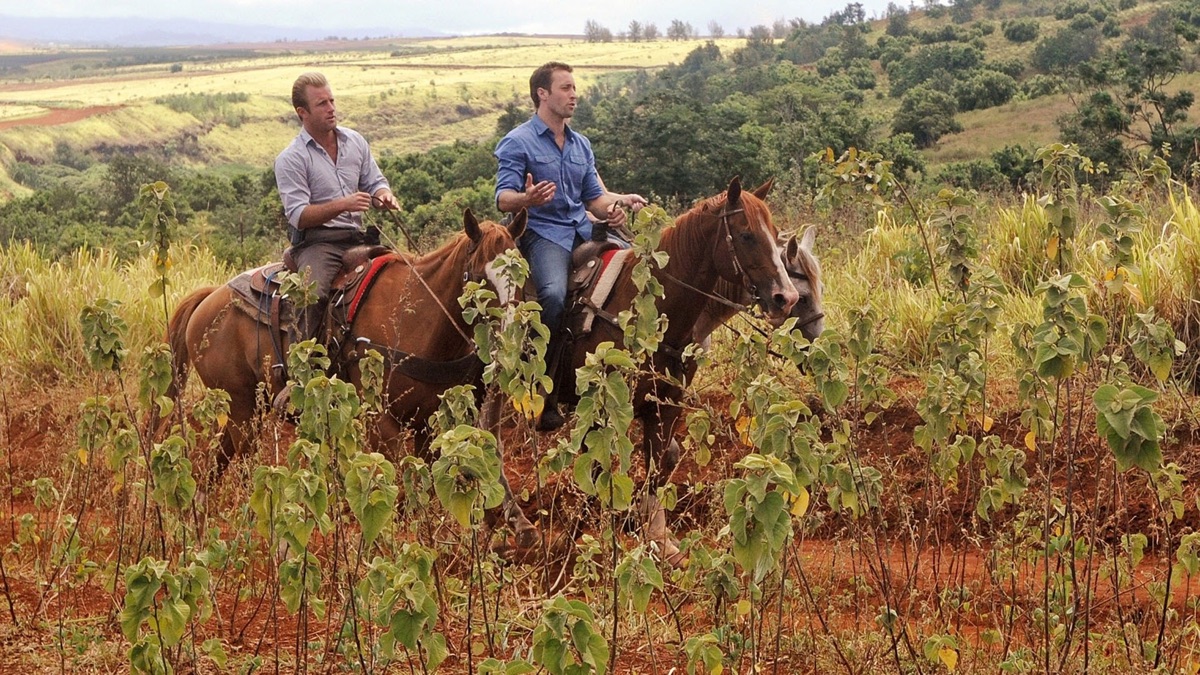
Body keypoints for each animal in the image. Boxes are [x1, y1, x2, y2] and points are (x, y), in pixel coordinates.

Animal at [165, 210, 535, 540]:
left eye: (522, 275)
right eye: (481, 277)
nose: (512, 341)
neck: (416, 317)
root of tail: (210, 299)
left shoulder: (427, 425)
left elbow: (424, 487)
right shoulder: (380, 422)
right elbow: (398, 484)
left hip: (249, 414)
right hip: (240, 410)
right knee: (224, 462)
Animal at [556, 176, 801, 559]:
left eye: (775, 234)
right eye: (747, 235)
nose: (786, 298)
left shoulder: (665, 406)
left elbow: (659, 467)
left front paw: (658, 539)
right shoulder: (602, 409)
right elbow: (599, 469)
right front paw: (594, 540)